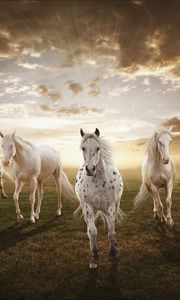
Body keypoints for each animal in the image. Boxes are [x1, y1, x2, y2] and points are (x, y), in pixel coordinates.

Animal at [74, 127, 124, 268]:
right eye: (83, 148)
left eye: (98, 148)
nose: (90, 169)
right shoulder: (88, 207)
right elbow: (92, 231)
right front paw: (95, 256)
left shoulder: (110, 206)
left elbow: (111, 231)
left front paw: (113, 251)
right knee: (89, 230)